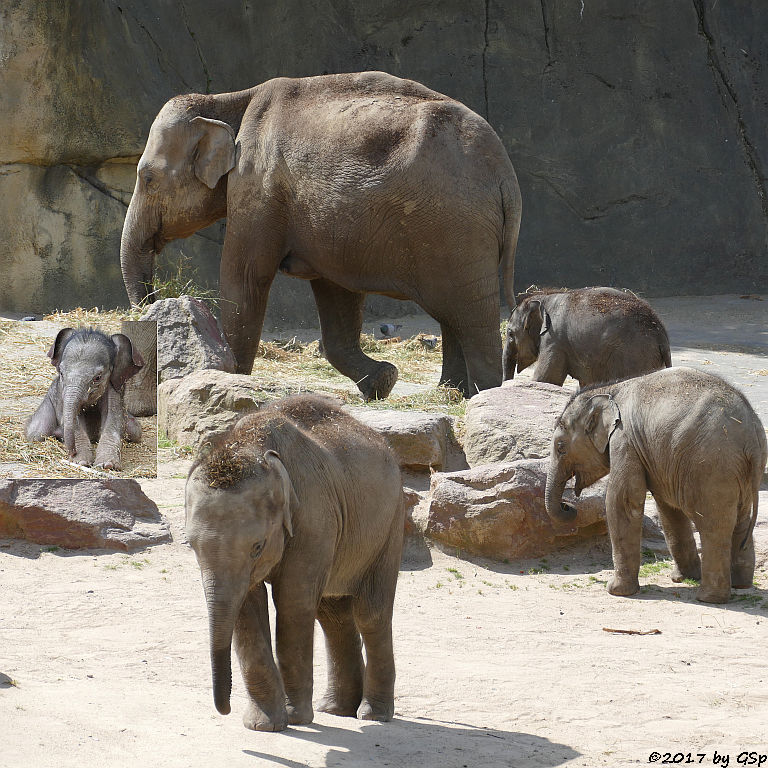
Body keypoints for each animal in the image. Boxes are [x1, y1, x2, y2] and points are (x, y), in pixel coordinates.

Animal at [25, 326, 146, 468]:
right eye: (61, 373)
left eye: (97, 378)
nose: (72, 453)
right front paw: (81, 462)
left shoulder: (114, 388)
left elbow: (112, 416)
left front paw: (107, 465)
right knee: (37, 432)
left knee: (135, 430)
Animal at [121, 70, 520, 402]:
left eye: (148, 178)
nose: (155, 300)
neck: (228, 100)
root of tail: (505, 175)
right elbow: (335, 292)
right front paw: (383, 382)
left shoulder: (257, 188)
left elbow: (246, 277)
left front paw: (229, 379)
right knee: (454, 315)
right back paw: (450, 394)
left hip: (456, 230)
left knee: (470, 315)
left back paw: (483, 396)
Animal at [185, 396, 404, 732]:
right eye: (190, 545)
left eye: (257, 546)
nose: (224, 709)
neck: (248, 444)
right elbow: (247, 607)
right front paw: (264, 725)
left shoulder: (313, 517)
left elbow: (293, 602)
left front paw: (295, 718)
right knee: (332, 613)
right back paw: (336, 709)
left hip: (390, 524)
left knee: (370, 613)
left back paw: (372, 715)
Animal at [500, 286, 668, 388]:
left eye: (510, 334)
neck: (544, 296)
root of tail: (660, 331)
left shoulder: (554, 340)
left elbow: (546, 379)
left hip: (634, 355)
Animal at [544, 368, 764, 608]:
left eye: (561, 448)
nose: (568, 506)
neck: (609, 389)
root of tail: (751, 436)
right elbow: (668, 509)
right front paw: (682, 579)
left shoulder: (625, 439)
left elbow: (622, 500)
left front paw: (615, 591)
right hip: (738, 473)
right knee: (741, 519)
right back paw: (741, 584)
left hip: (713, 468)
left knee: (713, 525)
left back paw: (709, 598)